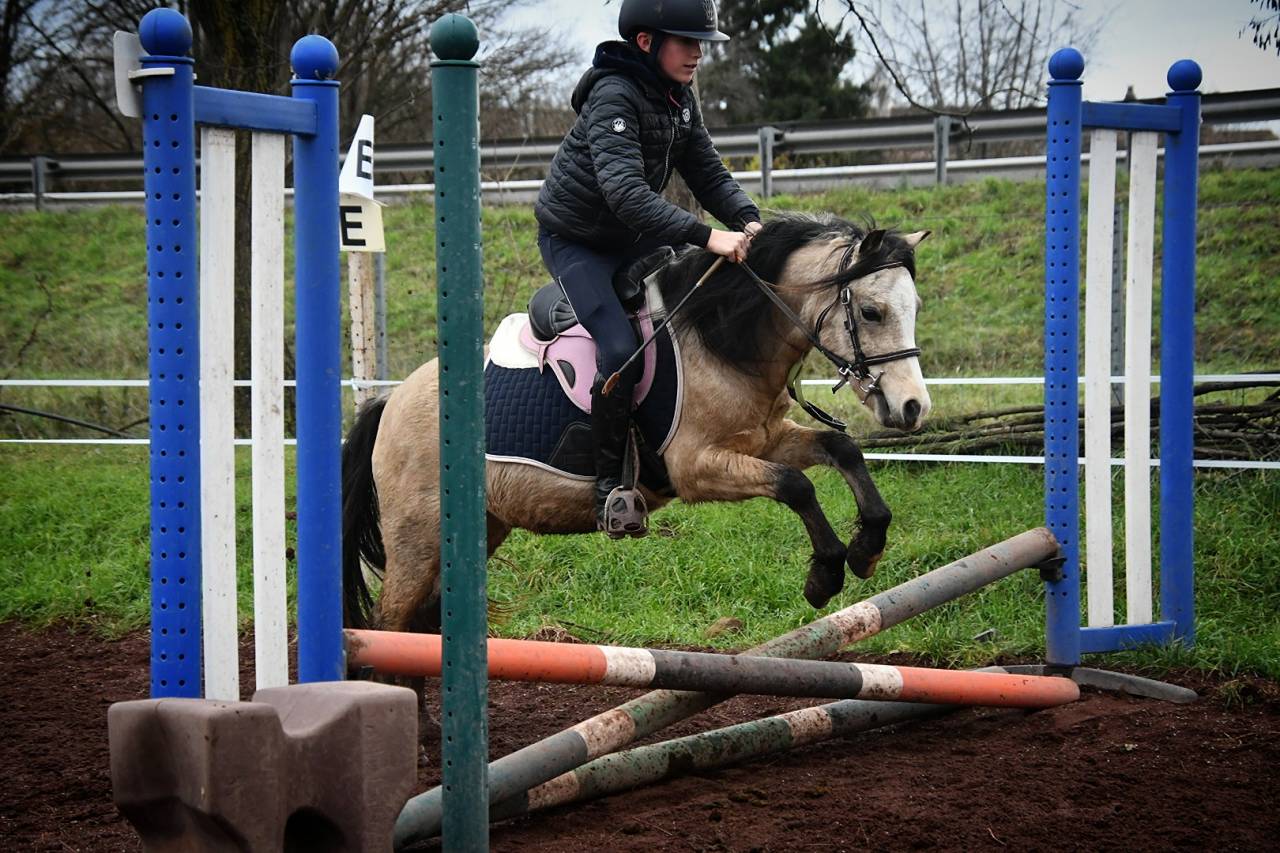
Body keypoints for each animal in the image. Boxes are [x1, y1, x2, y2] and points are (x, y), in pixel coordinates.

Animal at [342, 213, 931, 638]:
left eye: (915, 307)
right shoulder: (696, 467)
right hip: (417, 542)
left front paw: (867, 547)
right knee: (392, 625)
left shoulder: (766, 441)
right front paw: (825, 574)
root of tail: (390, 403)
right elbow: (796, 485)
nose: (913, 408)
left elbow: (841, 450)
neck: (720, 338)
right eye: (873, 312)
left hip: (481, 528)